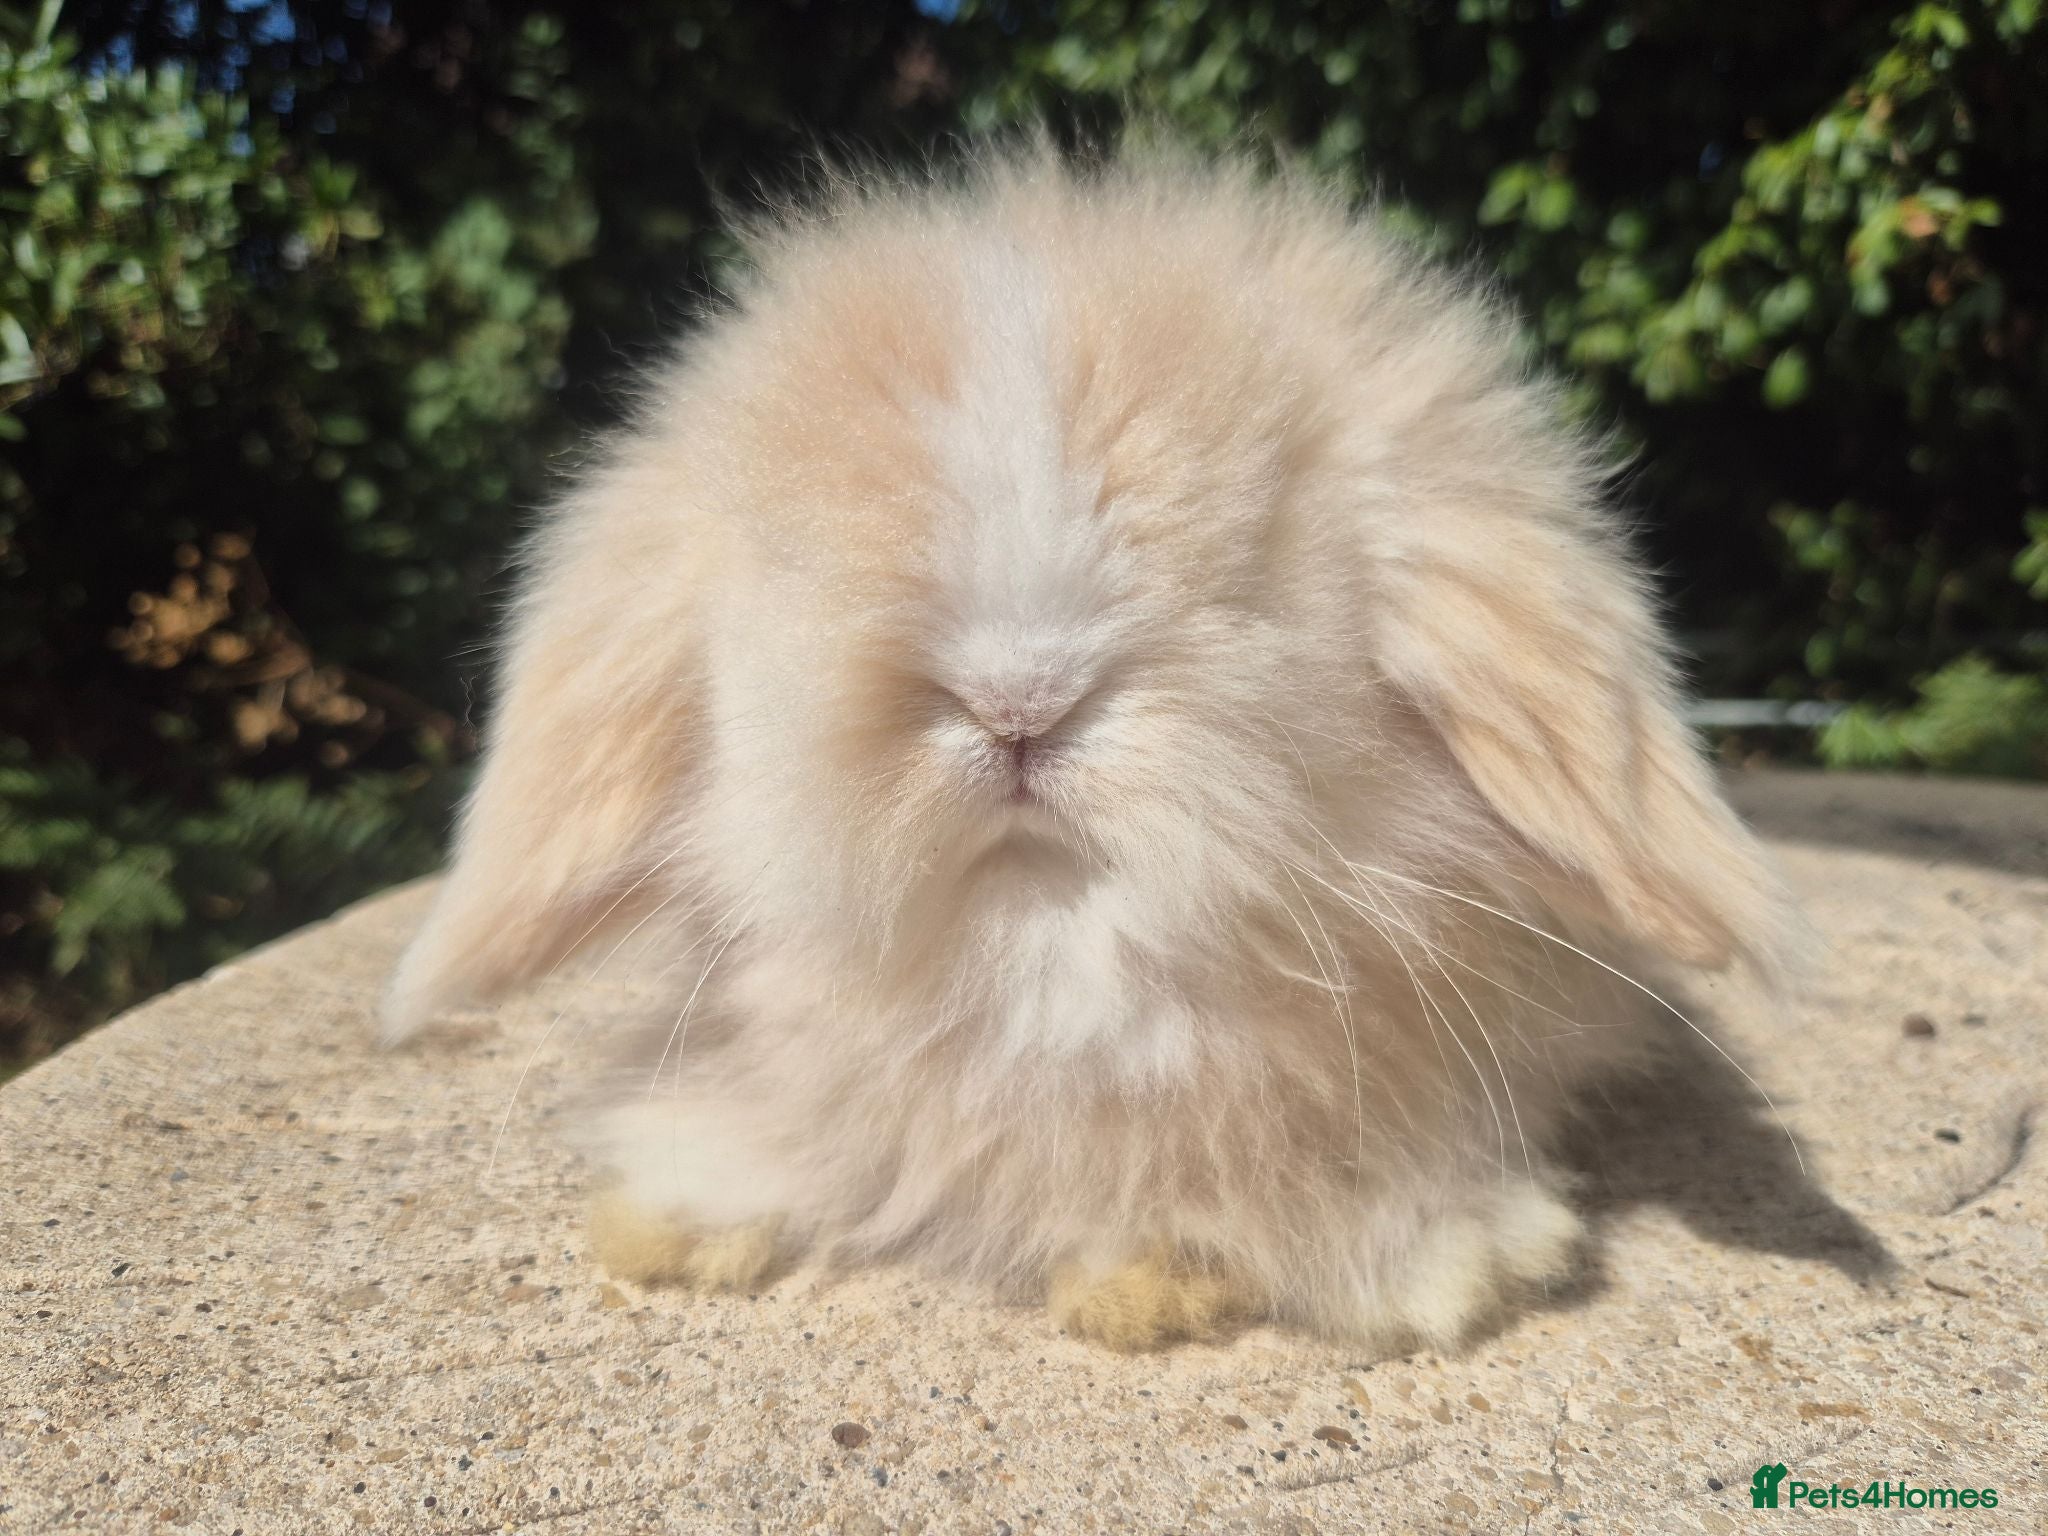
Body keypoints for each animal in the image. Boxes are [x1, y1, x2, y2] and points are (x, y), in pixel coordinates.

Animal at [381, 145, 1799, 1353]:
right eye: (795, 563)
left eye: (1255, 568)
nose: (1019, 700)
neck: (1050, 957)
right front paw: (672, 1223)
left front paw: (1290, 1274)